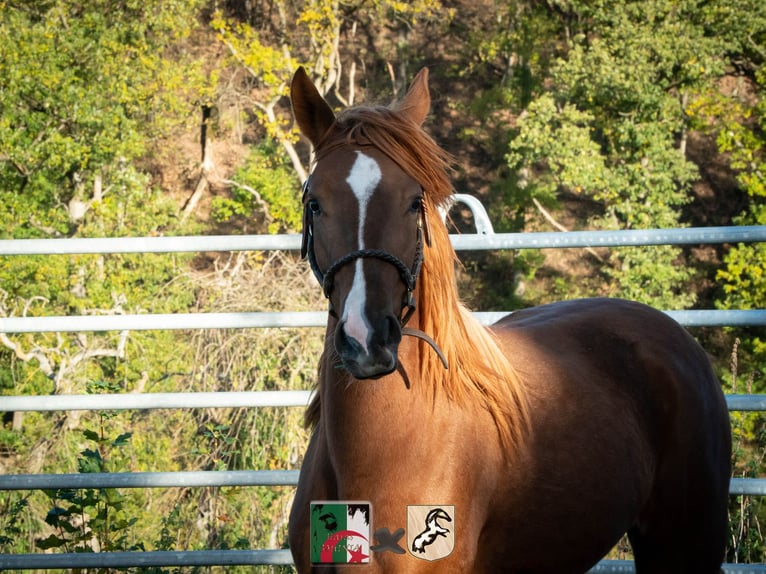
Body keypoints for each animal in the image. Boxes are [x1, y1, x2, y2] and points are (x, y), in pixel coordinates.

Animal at [287, 66, 732, 573]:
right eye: (315, 203)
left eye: (414, 201)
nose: (366, 340)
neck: (380, 455)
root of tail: (671, 333)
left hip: (687, 545)